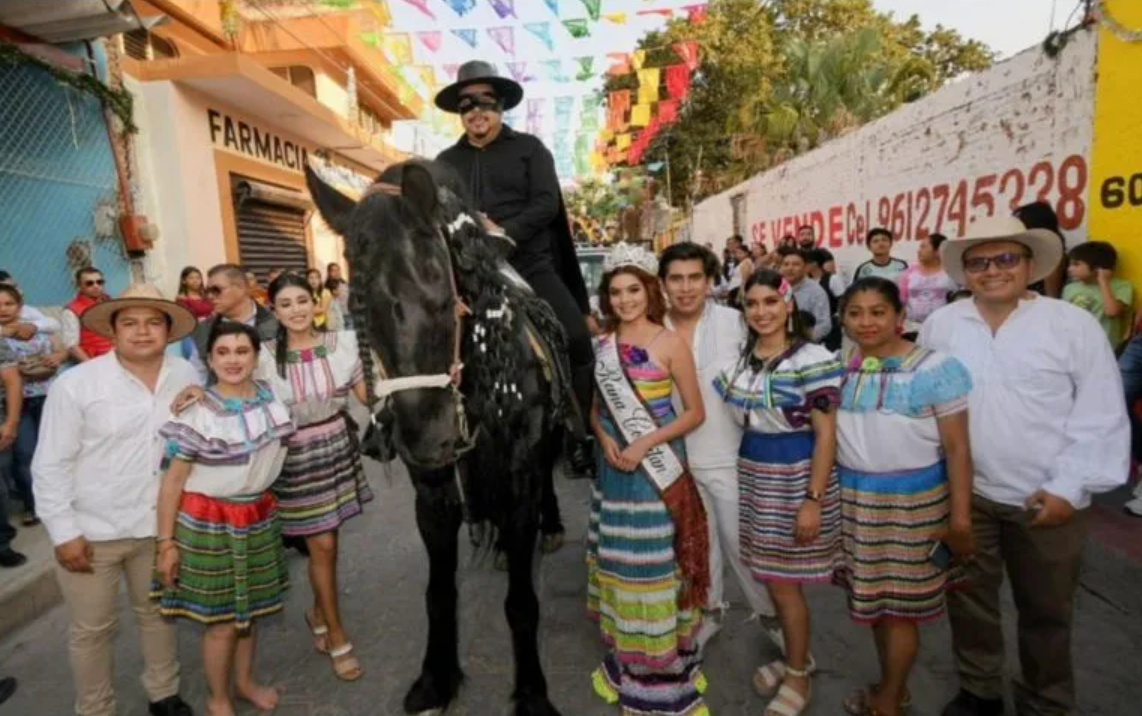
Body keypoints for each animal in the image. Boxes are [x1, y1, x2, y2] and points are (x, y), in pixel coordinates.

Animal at [308, 161, 566, 716]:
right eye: (357, 311)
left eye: (446, 299)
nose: (430, 440)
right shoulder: (432, 490)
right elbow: (439, 592)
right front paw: (436, 678)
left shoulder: (519, 478)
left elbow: (522, 600)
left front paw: (532, 692)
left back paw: (552, 523)